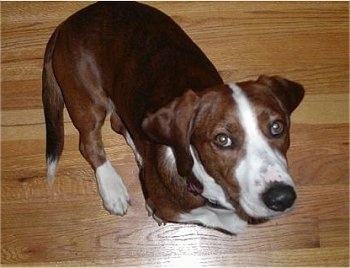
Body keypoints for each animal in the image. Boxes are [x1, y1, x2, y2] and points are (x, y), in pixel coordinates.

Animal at [41, 1, 304, 233]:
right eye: (222, 139)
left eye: (277, 127)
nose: (282, 198)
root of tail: (68, 22)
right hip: (87, 100)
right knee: (89, 142)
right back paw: (112, 187)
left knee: (120, 124)